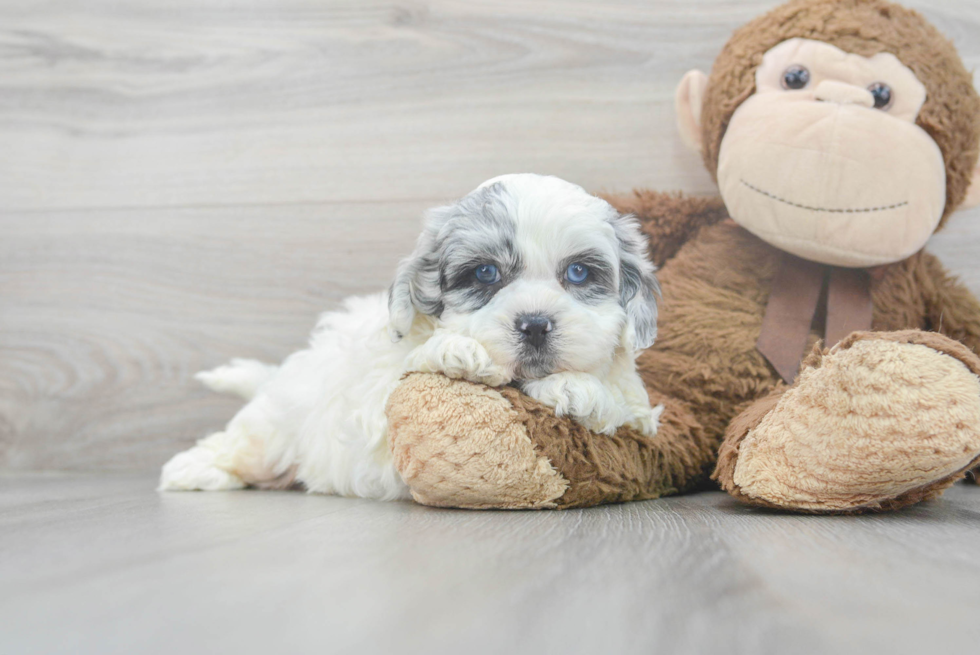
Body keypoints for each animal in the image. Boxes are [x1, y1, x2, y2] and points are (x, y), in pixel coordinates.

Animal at [161, 172, 668, 500]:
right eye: (485, 273)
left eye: (578, 272)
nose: (535, 323)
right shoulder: (375, 400)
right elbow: (408, 369)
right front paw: (455, 349)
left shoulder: (640, 414)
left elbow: (623, 405)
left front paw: (581, 389)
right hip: (275, 425)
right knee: (240, 445)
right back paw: (192, 470)